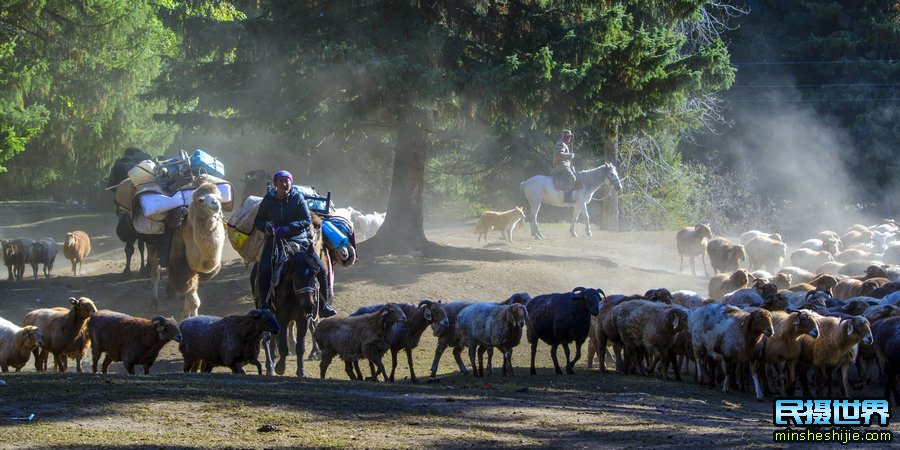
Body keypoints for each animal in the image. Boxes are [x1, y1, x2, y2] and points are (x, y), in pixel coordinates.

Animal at [147, 179, 225, 320]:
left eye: (219, 198)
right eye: (201, 200)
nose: (215, 204)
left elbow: (191, 297)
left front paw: (185, 312)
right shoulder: (182, 265)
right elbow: (194, 301)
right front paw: (188, 317)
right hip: (152, 245)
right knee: (155, 272)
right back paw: (155, 302)